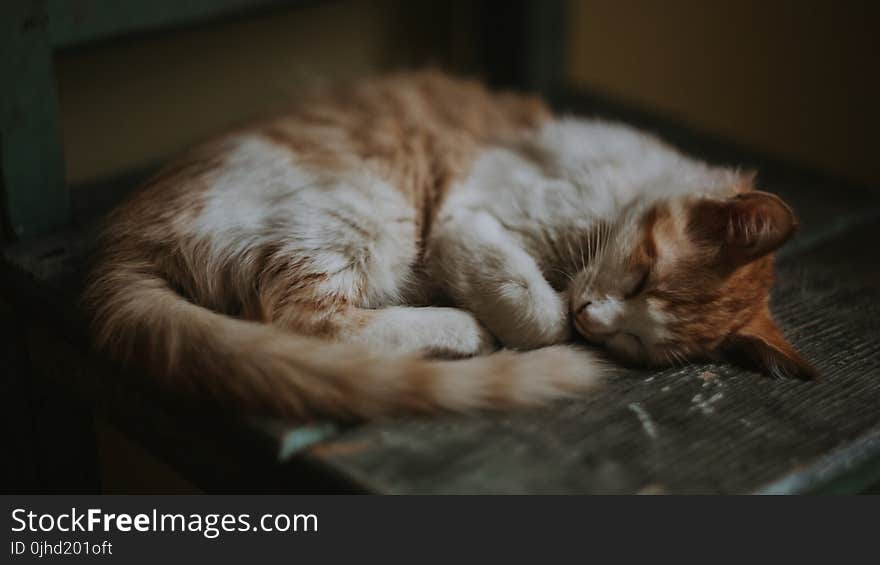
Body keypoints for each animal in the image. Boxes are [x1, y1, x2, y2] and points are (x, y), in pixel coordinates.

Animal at [86, 70, 816, 418]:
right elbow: (539, 313)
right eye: (640, 277)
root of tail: (125, 240)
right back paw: (462, 328)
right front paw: (542, 316)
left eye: (637, 345)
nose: (594, 320)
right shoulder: (468, 217)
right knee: (303, 320)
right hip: (366, 209)